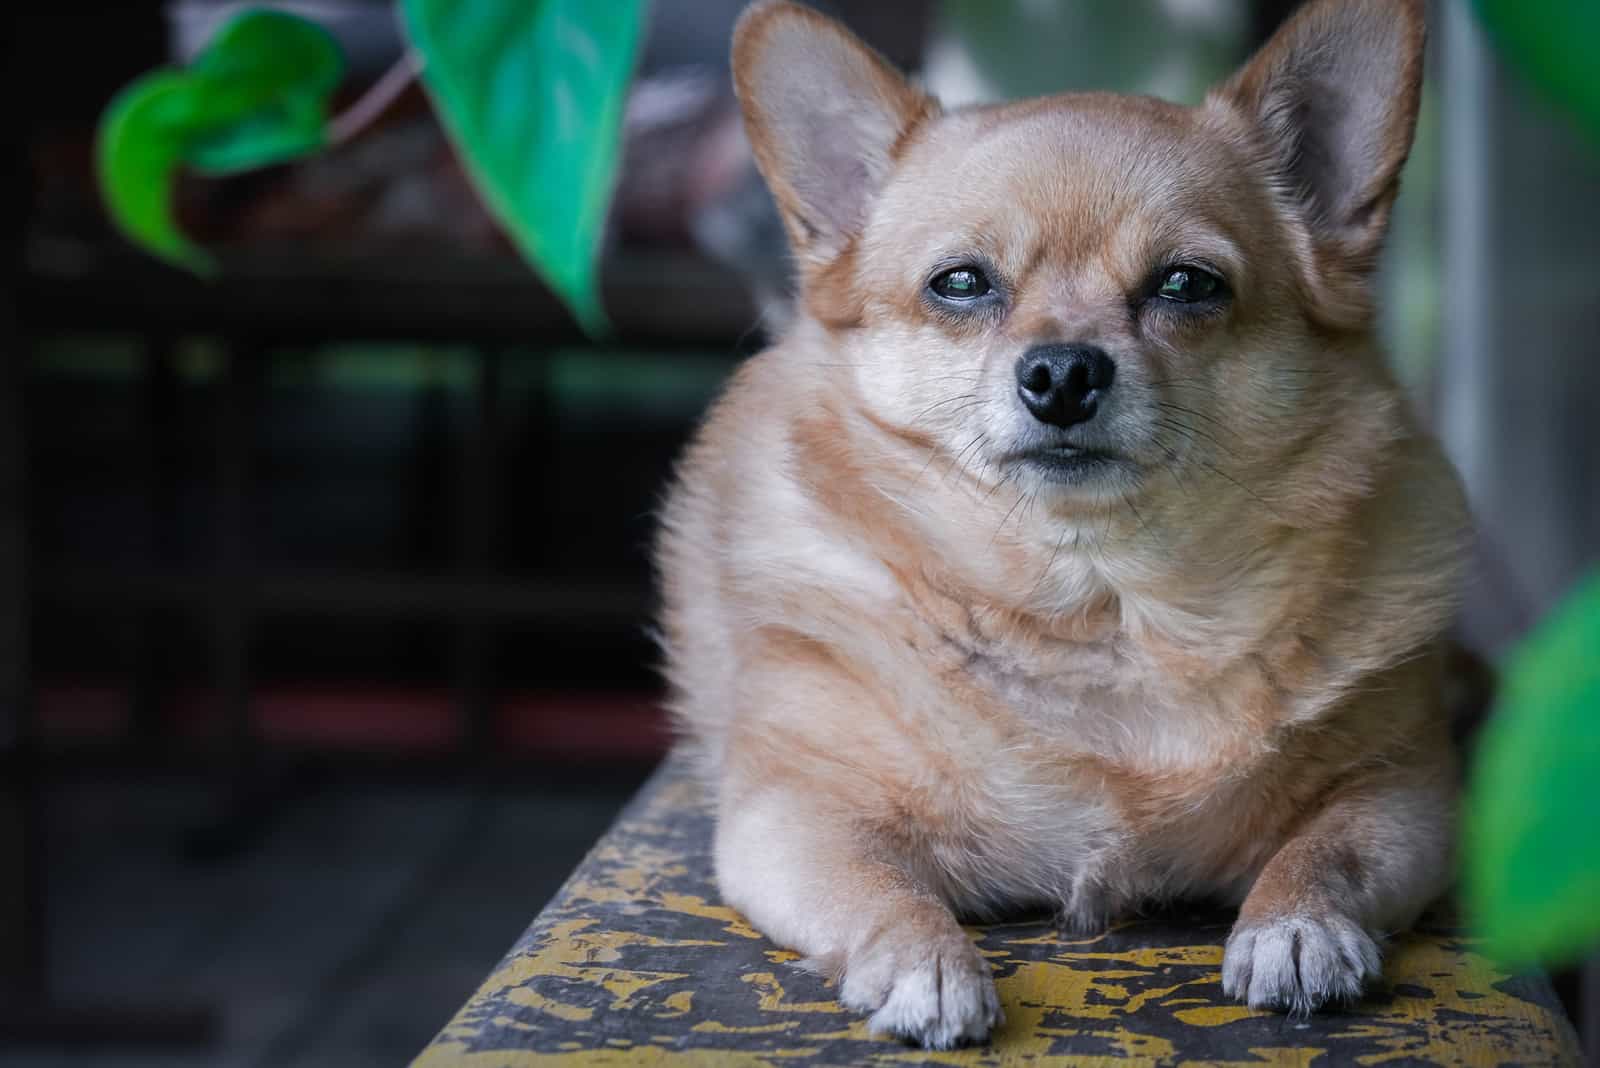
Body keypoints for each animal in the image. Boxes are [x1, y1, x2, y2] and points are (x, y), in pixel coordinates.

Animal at [656, 0, 1465, 1048]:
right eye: (960, 284)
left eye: (1187, 285)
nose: (1063, 371)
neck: (1101, 610)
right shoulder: (793, 815)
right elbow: (879, 887)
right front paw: (924, 960)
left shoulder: (1404, 794)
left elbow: (1324, 851)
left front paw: (1297, 926)